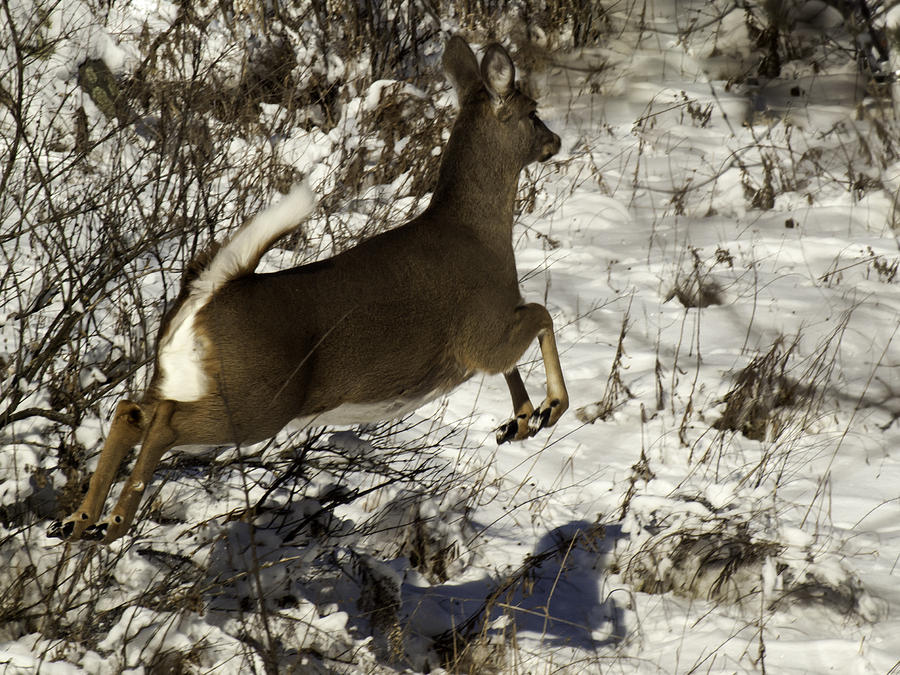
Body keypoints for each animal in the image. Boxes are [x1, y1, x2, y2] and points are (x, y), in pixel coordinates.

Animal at [47, 35, 568, 544]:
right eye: (533, 111)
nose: (556, 140)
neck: (479, 233)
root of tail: (213, 291)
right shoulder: (481, 334)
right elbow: (542, 313)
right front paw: (549, 409)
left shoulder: (493, 331)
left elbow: (523, 344)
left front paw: (518, 423)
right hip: (257, 401)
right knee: (162, 424)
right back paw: (112, 523)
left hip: (181, 378)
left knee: (130, 409)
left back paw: (76, 521)